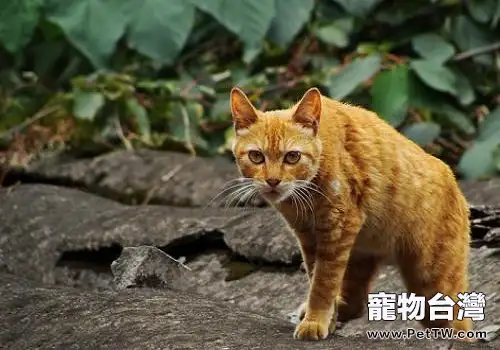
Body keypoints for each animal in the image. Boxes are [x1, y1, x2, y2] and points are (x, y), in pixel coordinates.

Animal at [230, 86, 472, 340]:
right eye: (256, 156)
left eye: (292, 156)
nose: (273, 181)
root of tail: (455, 184)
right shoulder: (309, 237)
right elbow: (316, 277)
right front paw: (324, 319)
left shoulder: (337, 228)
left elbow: (322, 284)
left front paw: (314, 321)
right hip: (361, 259)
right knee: (357, 304)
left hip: (432, 284)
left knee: (460, 323)